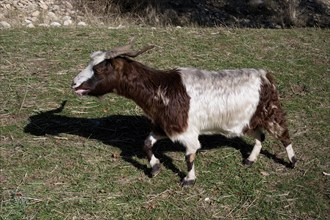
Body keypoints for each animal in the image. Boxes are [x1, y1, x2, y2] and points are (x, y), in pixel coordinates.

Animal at [71, 37, 296, 186]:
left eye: (100, 69)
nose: (74, 84)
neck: (161, 88)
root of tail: (264, 75)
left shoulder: (187, 132)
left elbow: (190, 156)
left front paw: (189, 179)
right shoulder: (164, 126)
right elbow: (146, 144)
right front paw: (154, 167)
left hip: (270, 111)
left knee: (283, 134)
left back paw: (292, 161)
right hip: (249, 119)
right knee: (260, 135)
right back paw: (250, 159)